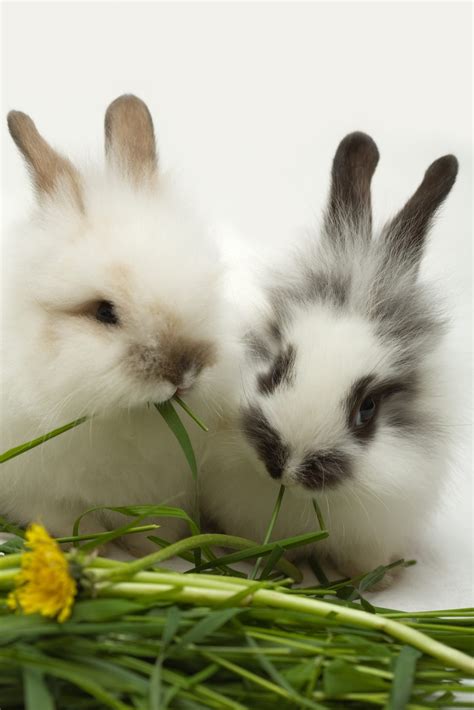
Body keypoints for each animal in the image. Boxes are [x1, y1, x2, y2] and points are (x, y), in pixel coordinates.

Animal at [1, 94, 226, 553]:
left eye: (206, 286)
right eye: (104, 312)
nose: (184, 373)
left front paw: (155, 550)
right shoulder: (41, 494)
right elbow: (72, 523)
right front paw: (95, 551)